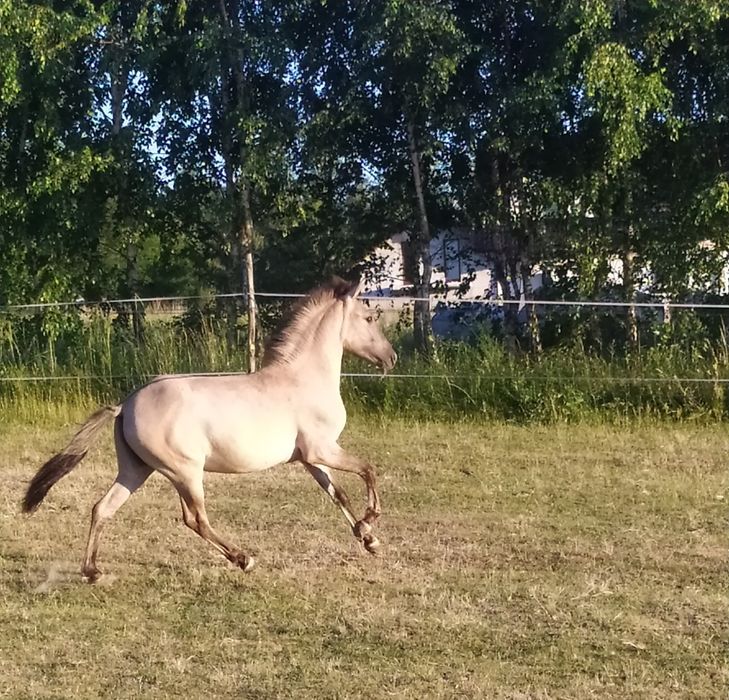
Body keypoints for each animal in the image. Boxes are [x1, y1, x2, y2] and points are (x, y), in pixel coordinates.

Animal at [22, 276, 396, 584]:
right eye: (368, 318)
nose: (390, 358)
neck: (303, 379)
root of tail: (124, 405)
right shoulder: (323, 448)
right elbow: (368, 469)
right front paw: (370, 521)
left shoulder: (309, 457)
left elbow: (338, 494)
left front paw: (369, 539)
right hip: (185, 471)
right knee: (195, 518)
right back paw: (243, 558)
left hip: (136, 470)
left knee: (103, 507)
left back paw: (92, 571)